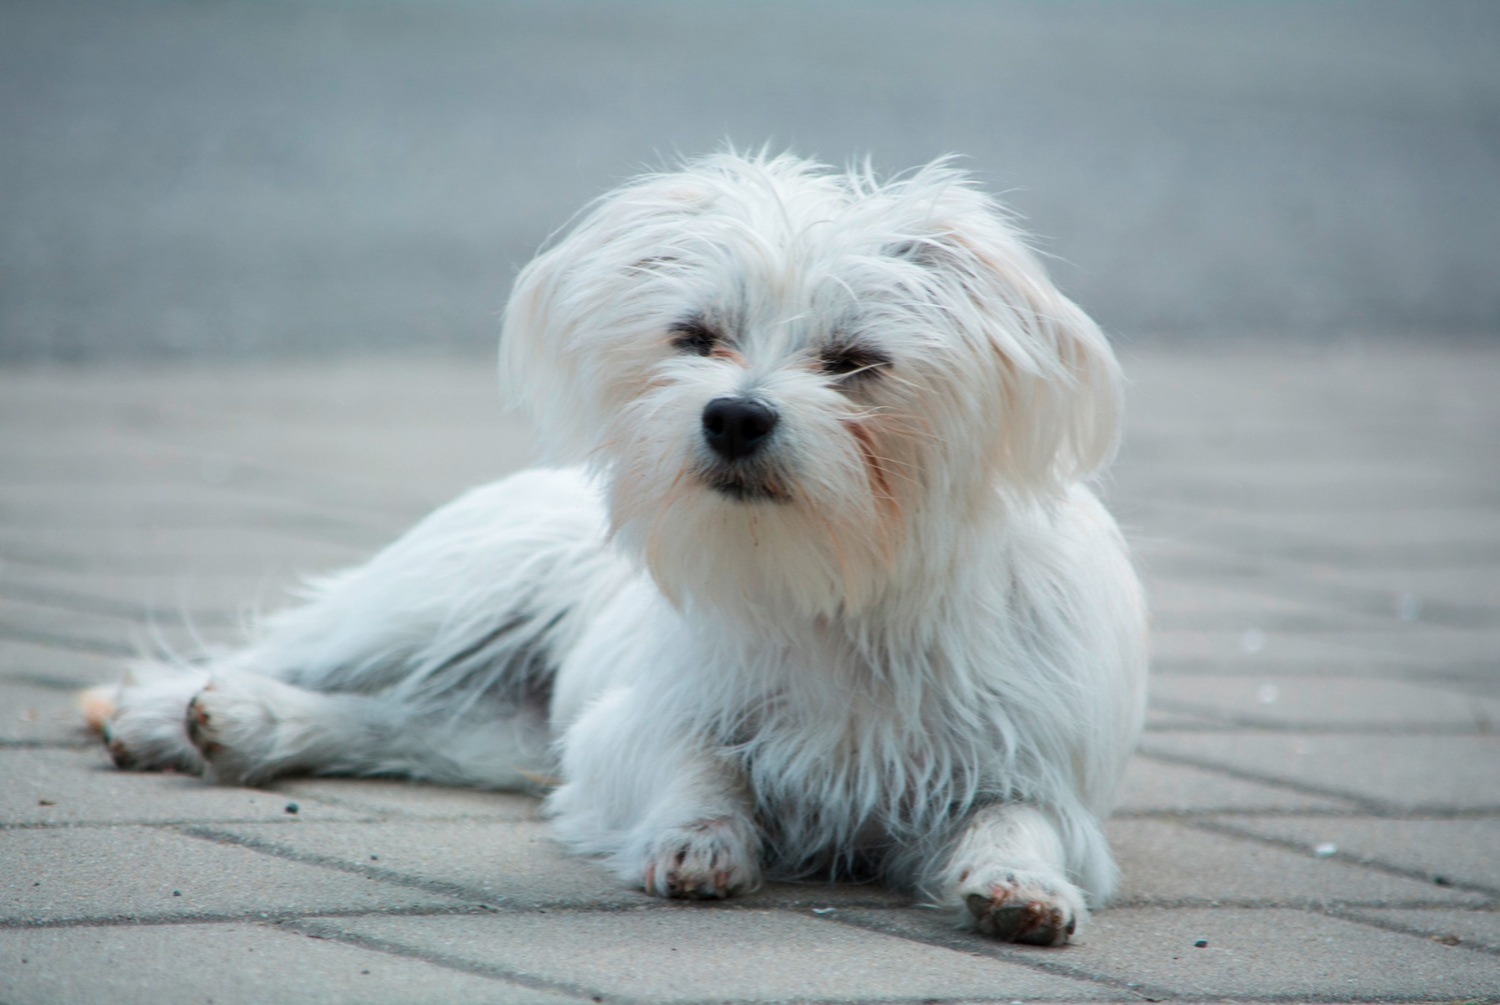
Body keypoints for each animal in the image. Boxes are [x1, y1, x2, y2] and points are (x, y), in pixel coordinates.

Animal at [90, 153, 1146, 948]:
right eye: (696, 336)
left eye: (856, 361)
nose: (733, 415)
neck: (842, 583)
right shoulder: (631, 727)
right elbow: (701, 764)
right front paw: (700, 835)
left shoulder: (1035, 771)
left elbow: (1017, 820)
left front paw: (1021, 884)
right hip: (436, 600)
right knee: (296, 654)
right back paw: (166, 712)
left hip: (492, 730)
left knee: (390, 720)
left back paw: (255, 725)